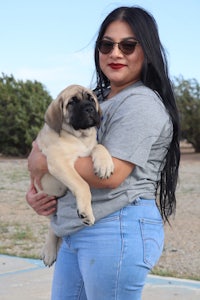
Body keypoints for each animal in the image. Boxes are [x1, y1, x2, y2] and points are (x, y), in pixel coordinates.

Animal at [34, 84, 114, 264]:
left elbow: (99, 147)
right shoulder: (58, 163)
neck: (79, 138)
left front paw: (104, 164)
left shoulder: (90, 148)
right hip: (49, 197)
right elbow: (82, 184)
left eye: (91, 99)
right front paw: (86, 212)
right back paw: (49, 251)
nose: (89, 108)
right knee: (53, 224)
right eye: (72, 102)